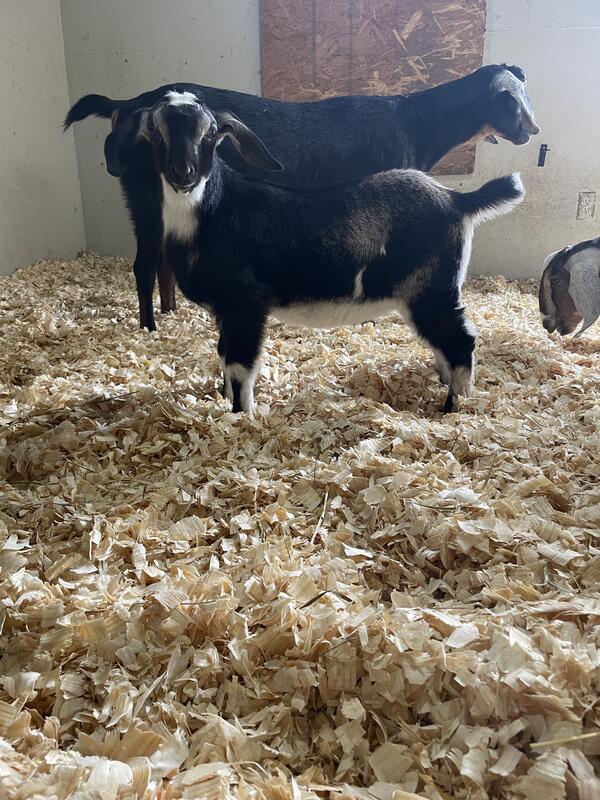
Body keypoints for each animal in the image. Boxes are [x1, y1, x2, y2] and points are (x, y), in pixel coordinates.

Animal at [64, 64, 538, 332]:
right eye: (511, 102)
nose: (531, 130)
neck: (416, 125)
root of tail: (127, 104)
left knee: (162, 260)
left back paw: (170, 311)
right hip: (144, 196)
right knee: (144, 264)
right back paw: (149, 327)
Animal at [102, 93, 525, 414]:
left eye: (211, 134)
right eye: (155, 131)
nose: (184, 171)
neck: (214, 211)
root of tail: (457, 200)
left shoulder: (246, 303)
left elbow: (239, 365)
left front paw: (240, 415)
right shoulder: (226, 310)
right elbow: (222, 355)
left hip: (431, 289)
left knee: (461, 341)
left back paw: (454, 407)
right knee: (447, 343)